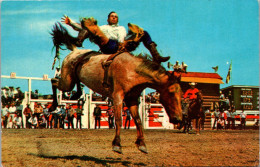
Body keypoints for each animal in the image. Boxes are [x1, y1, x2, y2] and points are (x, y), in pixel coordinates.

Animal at [49, 22, 183, 154]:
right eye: (171, 93)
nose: (179, 119)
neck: (132, 70)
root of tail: (75, 51)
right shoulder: (117, 96)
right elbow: (118, 119)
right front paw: (117, 144)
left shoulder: (132, 99)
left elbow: (138, 120)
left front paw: (142, 144)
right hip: (66, 82)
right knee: (54, 81)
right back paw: (53, 105)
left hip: (71, 80)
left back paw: (76, 94)